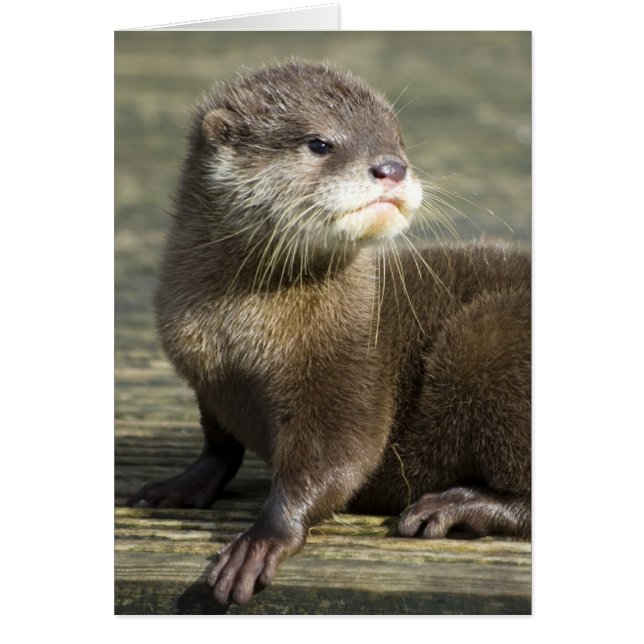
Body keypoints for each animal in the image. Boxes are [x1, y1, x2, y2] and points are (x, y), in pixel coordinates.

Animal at [128, 60, 531, 606]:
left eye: (398, 140)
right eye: (320, 143)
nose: (392, 167)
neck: (238, 338)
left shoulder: (349, 365)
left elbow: (337, 460)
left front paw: (262, 540)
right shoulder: (205, 379)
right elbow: (219, 445)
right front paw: (181, 485)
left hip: (486, 340)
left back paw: (453, 506)